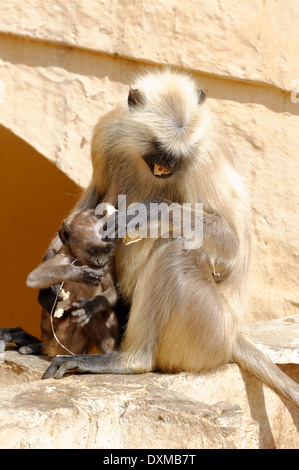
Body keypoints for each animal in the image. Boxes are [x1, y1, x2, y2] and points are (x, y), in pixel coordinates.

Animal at [26, 209, 119, 356]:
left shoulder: (108, 265)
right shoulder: (64, 258)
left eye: (106, 250)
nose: (100, 261)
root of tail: (46, 345)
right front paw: (80, 274)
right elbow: (34, 277)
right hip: (61, 344)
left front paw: (92, 305)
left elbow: (111, 291)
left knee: (105, 310)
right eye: (92, 251)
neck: (80, 261)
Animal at [41, 68, 299, 410]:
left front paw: (149, 211)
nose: (169, 165)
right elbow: (95, 193)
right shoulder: (108, 131)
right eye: (158, 150)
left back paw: (129, 360)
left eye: (177, 155)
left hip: (208, 330)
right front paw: (52, 265)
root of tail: (233, 335)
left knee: (177, 249)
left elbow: (231, 243)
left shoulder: (201, 158)